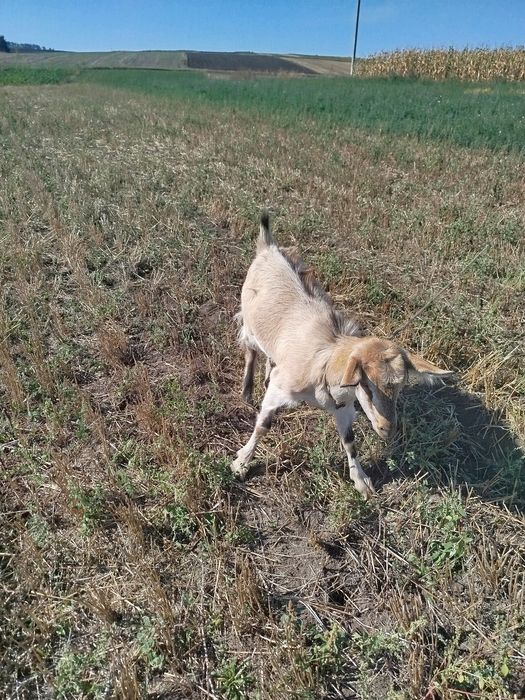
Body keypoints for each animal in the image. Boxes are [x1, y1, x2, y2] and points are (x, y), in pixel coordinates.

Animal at [232, 213, 453, 498]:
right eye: (365, 385)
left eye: (401, 387)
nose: (388, 429)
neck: (325, 362)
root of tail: (268, 247)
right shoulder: (281, 390)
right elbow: (263, 425)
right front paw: (241, 462)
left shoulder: (344, 406)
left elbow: (349, 441)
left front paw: (362, 481)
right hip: (249, 324)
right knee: (250, 352)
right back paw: (247, 392)